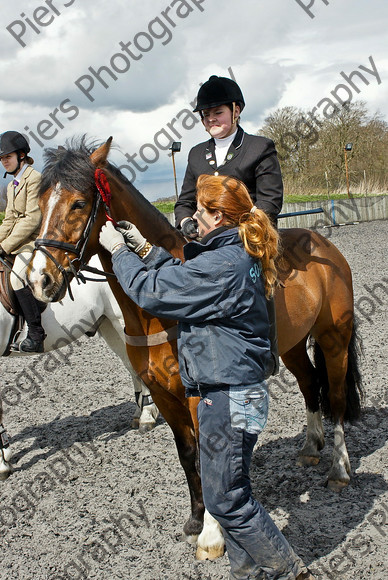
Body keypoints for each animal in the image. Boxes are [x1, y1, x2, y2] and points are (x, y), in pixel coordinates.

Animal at [0, 254, 158, 480]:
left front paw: (2, 463)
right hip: (108, 325)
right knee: (131, 365)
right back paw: (141, 412)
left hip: (121, 321)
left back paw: (146, 415)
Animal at [27, 137, 364, 560]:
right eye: (40, 205)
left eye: (78, 203)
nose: (39, 281)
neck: (159, 303)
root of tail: (323, 244)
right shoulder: (161, 392)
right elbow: (187, 453)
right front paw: (194, 521)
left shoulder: (198, 394)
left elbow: (207, 451)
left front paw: (212, 536)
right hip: (292, 348)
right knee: (308, 386)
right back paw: (310, 447)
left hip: (335, 339)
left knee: (335, 398)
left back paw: (339, 469)